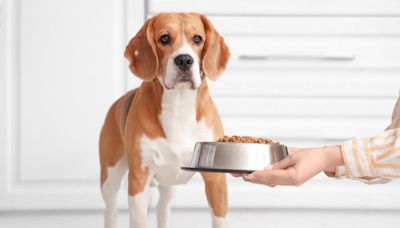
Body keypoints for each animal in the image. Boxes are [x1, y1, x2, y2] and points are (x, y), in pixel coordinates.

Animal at [99, 12, 230, 228]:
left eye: (197, 39)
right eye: (164, 38)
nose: (184, 60)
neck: (179, 105)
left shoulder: (215, 179)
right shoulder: (139, 179)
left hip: (169, 183)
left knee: (162, 207)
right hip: (110, 176)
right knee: (110, 211)